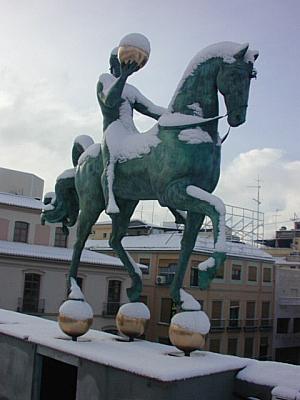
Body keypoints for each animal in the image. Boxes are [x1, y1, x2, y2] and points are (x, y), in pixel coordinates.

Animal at [42, 42, 258, 306]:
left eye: (252, 75)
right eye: (235, 74)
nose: (238, 118)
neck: (190, 128)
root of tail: (85, 156)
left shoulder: (197, 194)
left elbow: (191, 240)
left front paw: (181, 296)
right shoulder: (173, 192)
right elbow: (217, 208)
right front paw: (208, 270)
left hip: (127, 203)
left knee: (115, 239)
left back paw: (135, 284)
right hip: (92, 202)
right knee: (80, 240)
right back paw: (74, 290)